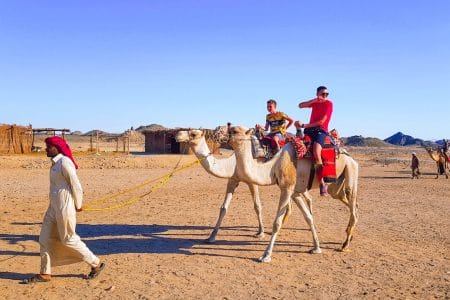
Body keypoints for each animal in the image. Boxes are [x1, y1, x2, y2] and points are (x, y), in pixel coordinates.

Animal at [224, 125, 358, 262]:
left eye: (234, 130)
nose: (219, 133)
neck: (273, 167)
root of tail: (350, 157)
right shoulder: (295, 192)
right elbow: (308, 217)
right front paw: (316, 248)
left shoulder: (287, 189)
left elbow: (277, 223)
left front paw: (266, 255)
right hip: (336, 184)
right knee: (346, 200)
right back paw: (350, 235)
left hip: (351, 169)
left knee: (351, 199)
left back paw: (345, 244)